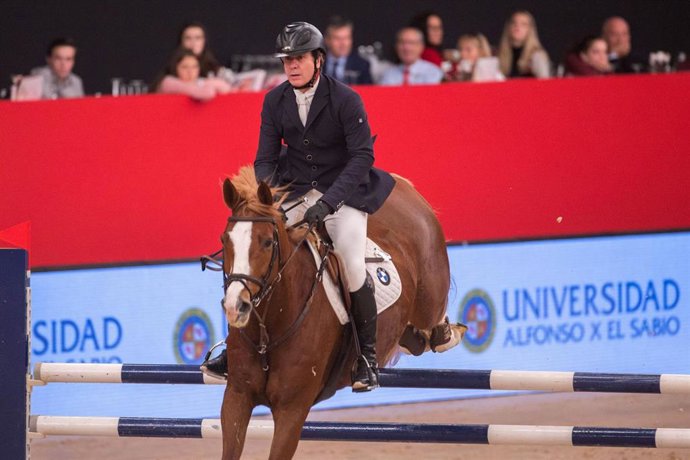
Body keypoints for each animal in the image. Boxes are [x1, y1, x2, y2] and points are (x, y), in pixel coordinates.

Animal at [217, 166, 461, 459]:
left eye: (266, 242)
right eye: (225, 240)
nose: (235, 306)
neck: (271, 325)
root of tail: (405, 189)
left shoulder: (291, 410)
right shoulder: (237, 398)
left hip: (428, 300)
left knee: (432, 323)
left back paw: (445, 333)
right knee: (412, 338)